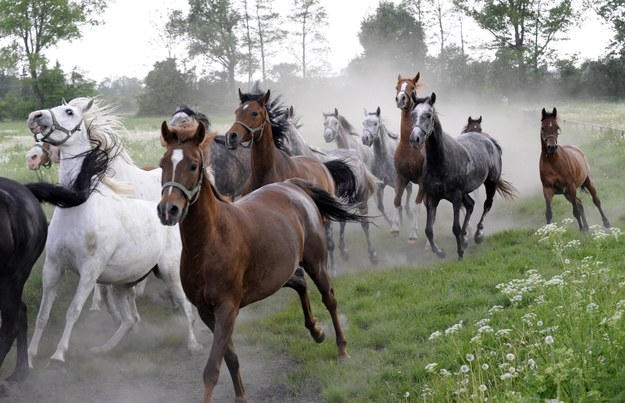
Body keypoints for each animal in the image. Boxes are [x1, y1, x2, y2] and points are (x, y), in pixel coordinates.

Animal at [23, 98, 200, 370]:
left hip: (169, 273)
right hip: (121, 285)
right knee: (129, 320)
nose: (35, 116)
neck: (78, 207)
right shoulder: (53, 267)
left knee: (185, 306)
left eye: (69, 112)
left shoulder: (90, 270)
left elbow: (73, 311)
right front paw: (30, 358)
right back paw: (103, 349)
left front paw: (58, 356)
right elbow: (43, 314)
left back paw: (192, 345)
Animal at [157, 120, 360, 403]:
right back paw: (316, 331)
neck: (209, 243)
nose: (168, 210)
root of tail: (293, 185)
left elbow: (212, 369)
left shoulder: (226, 309)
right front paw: (241, 396)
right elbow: (230, 358)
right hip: (277, 273)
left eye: (193, 165)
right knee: (299, 283)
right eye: (162, 163)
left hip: (316, 263)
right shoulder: (207, 311)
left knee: (329, 298)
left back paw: (342, 350)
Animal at [408, 93, 516, 260]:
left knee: (486, 205)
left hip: (490, 183)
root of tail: (490, 141)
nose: (415, 139)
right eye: (413, 114)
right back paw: (465, 238)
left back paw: (478, 235)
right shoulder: (432, 198)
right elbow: (429, 230)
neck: (441, 162)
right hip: (465, 191)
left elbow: (455, 228)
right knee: (471, 205)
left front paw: (460, 253)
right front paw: (440, 252)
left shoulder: (456, 196)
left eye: (428, 115)